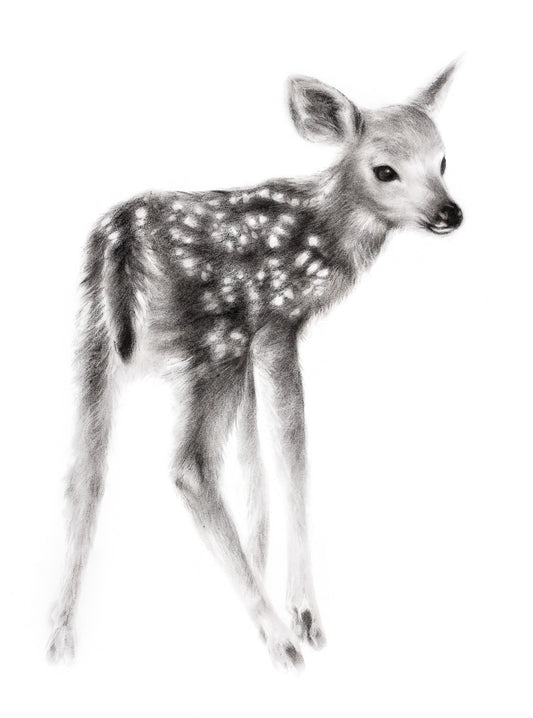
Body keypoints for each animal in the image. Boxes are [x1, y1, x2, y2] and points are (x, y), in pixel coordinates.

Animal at [48, 63, 463, 670]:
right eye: (385, 169)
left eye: (443, 159)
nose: (450, 213)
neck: (324, 236)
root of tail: (120, 240)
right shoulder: (274, 326)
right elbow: (291, 454)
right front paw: (304, 613)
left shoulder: (248, 348)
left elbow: (253, 459)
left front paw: (266, 574)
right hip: (210, 344)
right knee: (190, 466)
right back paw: (280, 640)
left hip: (94, 338)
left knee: (85, 472)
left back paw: (60, 639)